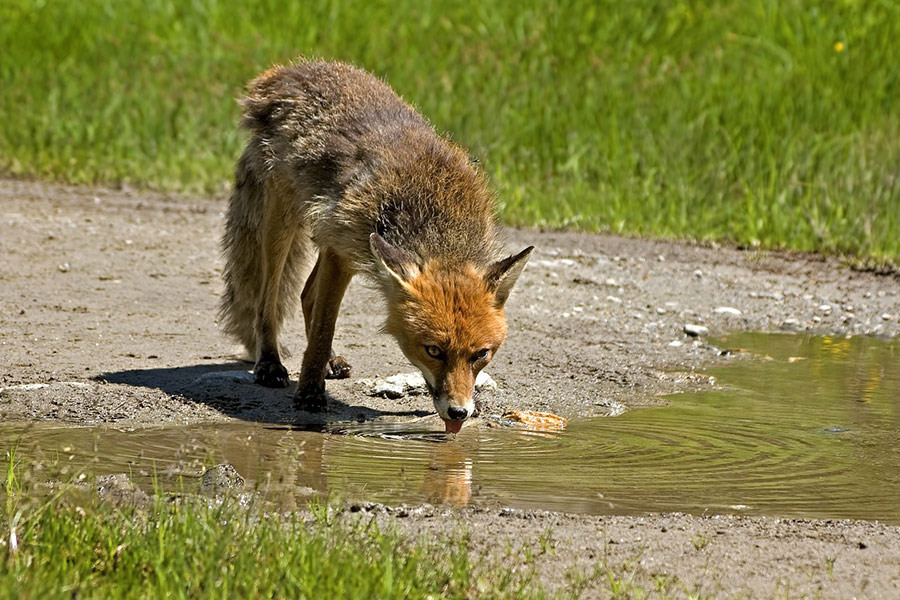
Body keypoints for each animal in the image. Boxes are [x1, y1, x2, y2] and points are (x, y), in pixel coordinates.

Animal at [219, 59, 532, 433]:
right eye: (433, 350)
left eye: (481, 354)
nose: (458, 413)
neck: (432, 216)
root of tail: (289, 70)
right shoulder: (342, 254)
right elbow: (324, 327)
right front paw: (309, 394)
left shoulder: (346, 247)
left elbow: (320, 319)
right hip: (287, 221)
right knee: (268, 299)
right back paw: (270, 362)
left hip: (334, 235)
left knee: (306, 294)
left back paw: (330, 362)